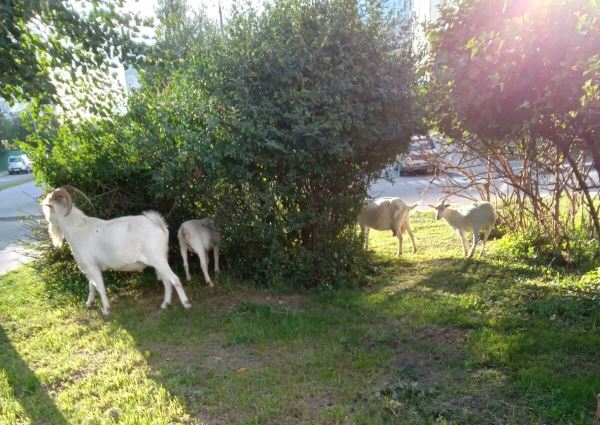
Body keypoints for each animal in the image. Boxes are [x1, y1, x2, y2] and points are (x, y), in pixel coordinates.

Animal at [41, 186, 191, 314]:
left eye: (48, 207)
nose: (48, 223)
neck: (77, 228)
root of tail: (158, 223)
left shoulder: (91, 266)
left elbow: (99, 287)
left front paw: (106, 310)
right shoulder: (91, 267)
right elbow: (91, 284)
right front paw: (89, 303)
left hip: (158, 258)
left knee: (175, 279)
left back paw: (186, 303)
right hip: (159, 259)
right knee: (166, 281)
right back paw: (165, 304)